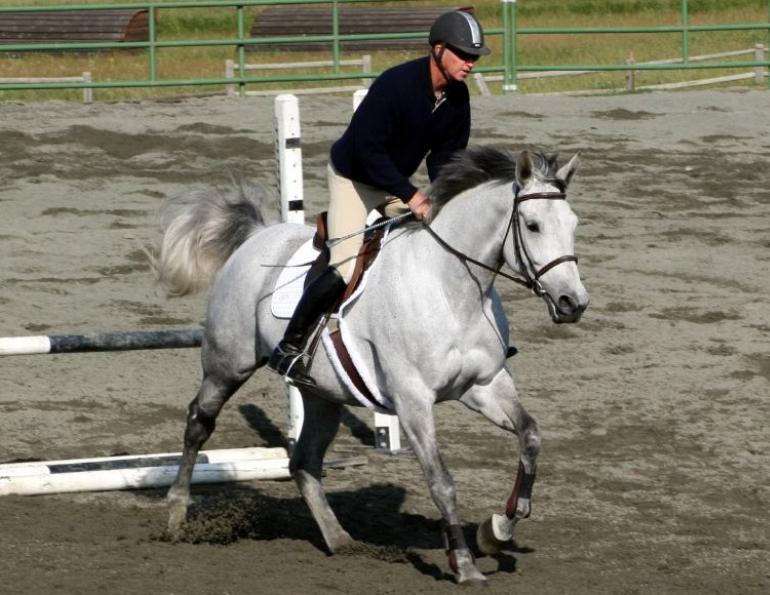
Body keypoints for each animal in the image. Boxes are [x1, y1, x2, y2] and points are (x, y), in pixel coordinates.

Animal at [154, 146, 589, 585]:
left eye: (573, 223)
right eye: (532, 226)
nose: (573, 303)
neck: (454, 291)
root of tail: (257, 235)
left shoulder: (485, 385)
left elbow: (530, 436)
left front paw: (496, 530)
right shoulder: (413, 400)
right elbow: (442, 482)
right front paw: (464, 565)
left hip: (321, 394)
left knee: (304, 462)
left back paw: (339, 540)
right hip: (228, 364)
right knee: (199, 422)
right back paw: (176, 515)